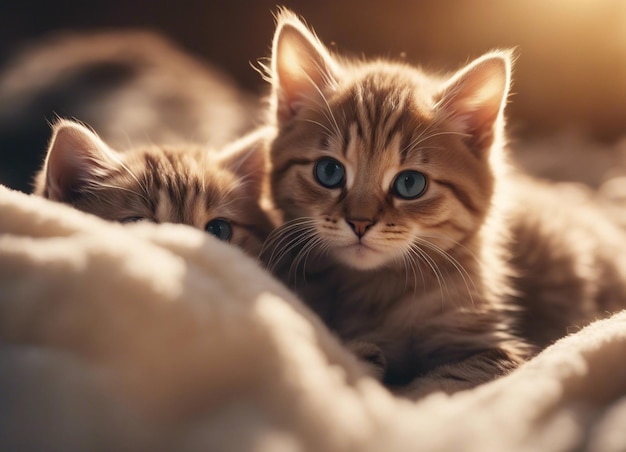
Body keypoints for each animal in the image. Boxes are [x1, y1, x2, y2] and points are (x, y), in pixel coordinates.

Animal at [260, 9, 626, 396]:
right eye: (329, 171)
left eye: (409, 184)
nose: (360, 222)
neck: (376, 290)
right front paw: (363, 356)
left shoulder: (492, 352)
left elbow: (431, 387)